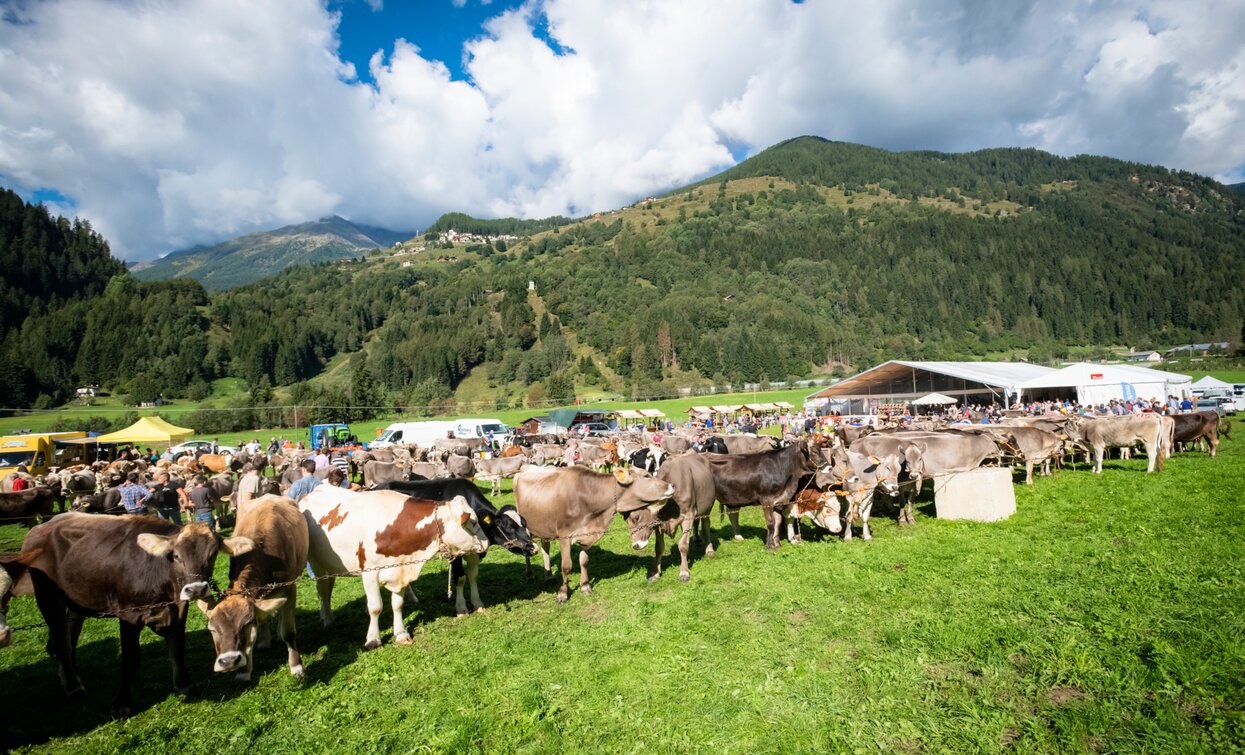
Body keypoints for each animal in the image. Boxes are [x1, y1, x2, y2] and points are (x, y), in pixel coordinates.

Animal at [197, 500, 310, 682]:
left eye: (246, 623)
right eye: (212, 629)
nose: (229, 661)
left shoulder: (290, 588)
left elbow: (288, 631)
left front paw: (296, 667)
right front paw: (243, 672)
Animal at [298, 488, 488, 652]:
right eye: (473, 522)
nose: (486, 544)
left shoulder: (399, 570)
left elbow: (397, 605)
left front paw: (401, 633)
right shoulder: (370, 573)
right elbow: (376, 607)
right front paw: (373, 639)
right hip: (317, 563)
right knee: (324, 591)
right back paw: (328, 620)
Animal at [512, 468, 677, 603]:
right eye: (646, 475)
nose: (672, 486)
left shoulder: (588, 535)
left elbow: (584, 561)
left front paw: (585, 586)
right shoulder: (565, 535)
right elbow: (566, 566)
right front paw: (562, 594)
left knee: (545, 546)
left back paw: (548, 575)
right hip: (525, 525)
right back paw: (530, 575)